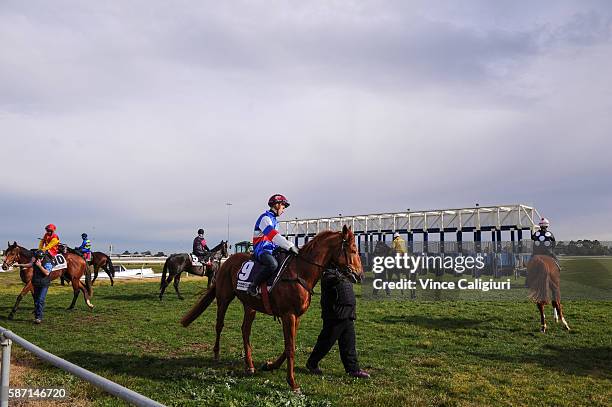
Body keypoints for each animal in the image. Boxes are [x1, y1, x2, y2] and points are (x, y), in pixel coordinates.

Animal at [180, 228, 364, 394]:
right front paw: (292, 383)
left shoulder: (296, 316)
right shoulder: (288, 315)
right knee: (219, 325)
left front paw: (270, 365)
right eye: (353, 250)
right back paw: (217, 355)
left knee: (245, 330)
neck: (300, 272)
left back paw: (250, 365)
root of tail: (227, 261)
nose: (360, 275)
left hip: (250, 306)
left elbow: (290, 345)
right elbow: (290, 348)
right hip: (224, 299)